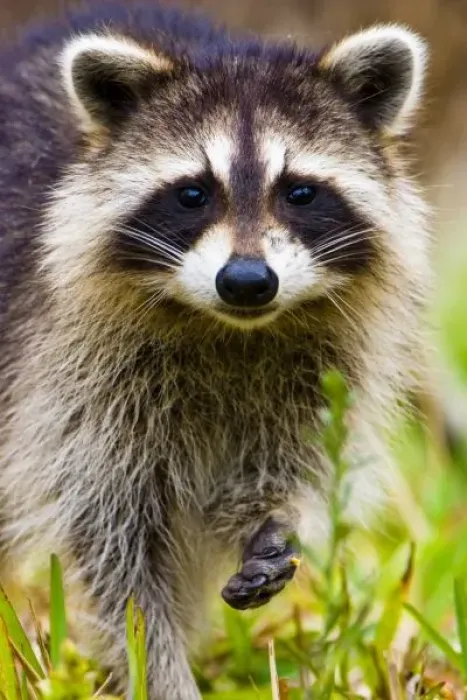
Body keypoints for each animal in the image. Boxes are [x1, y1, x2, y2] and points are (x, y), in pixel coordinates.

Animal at [0, 2, 430, 698]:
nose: (248, 281)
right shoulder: (69, 377)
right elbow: (116, 552)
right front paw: (159, 671)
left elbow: (292, 463)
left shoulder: (326, 368)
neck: (232, 331)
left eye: (300, 192)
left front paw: (275, 519)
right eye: (192, 193)